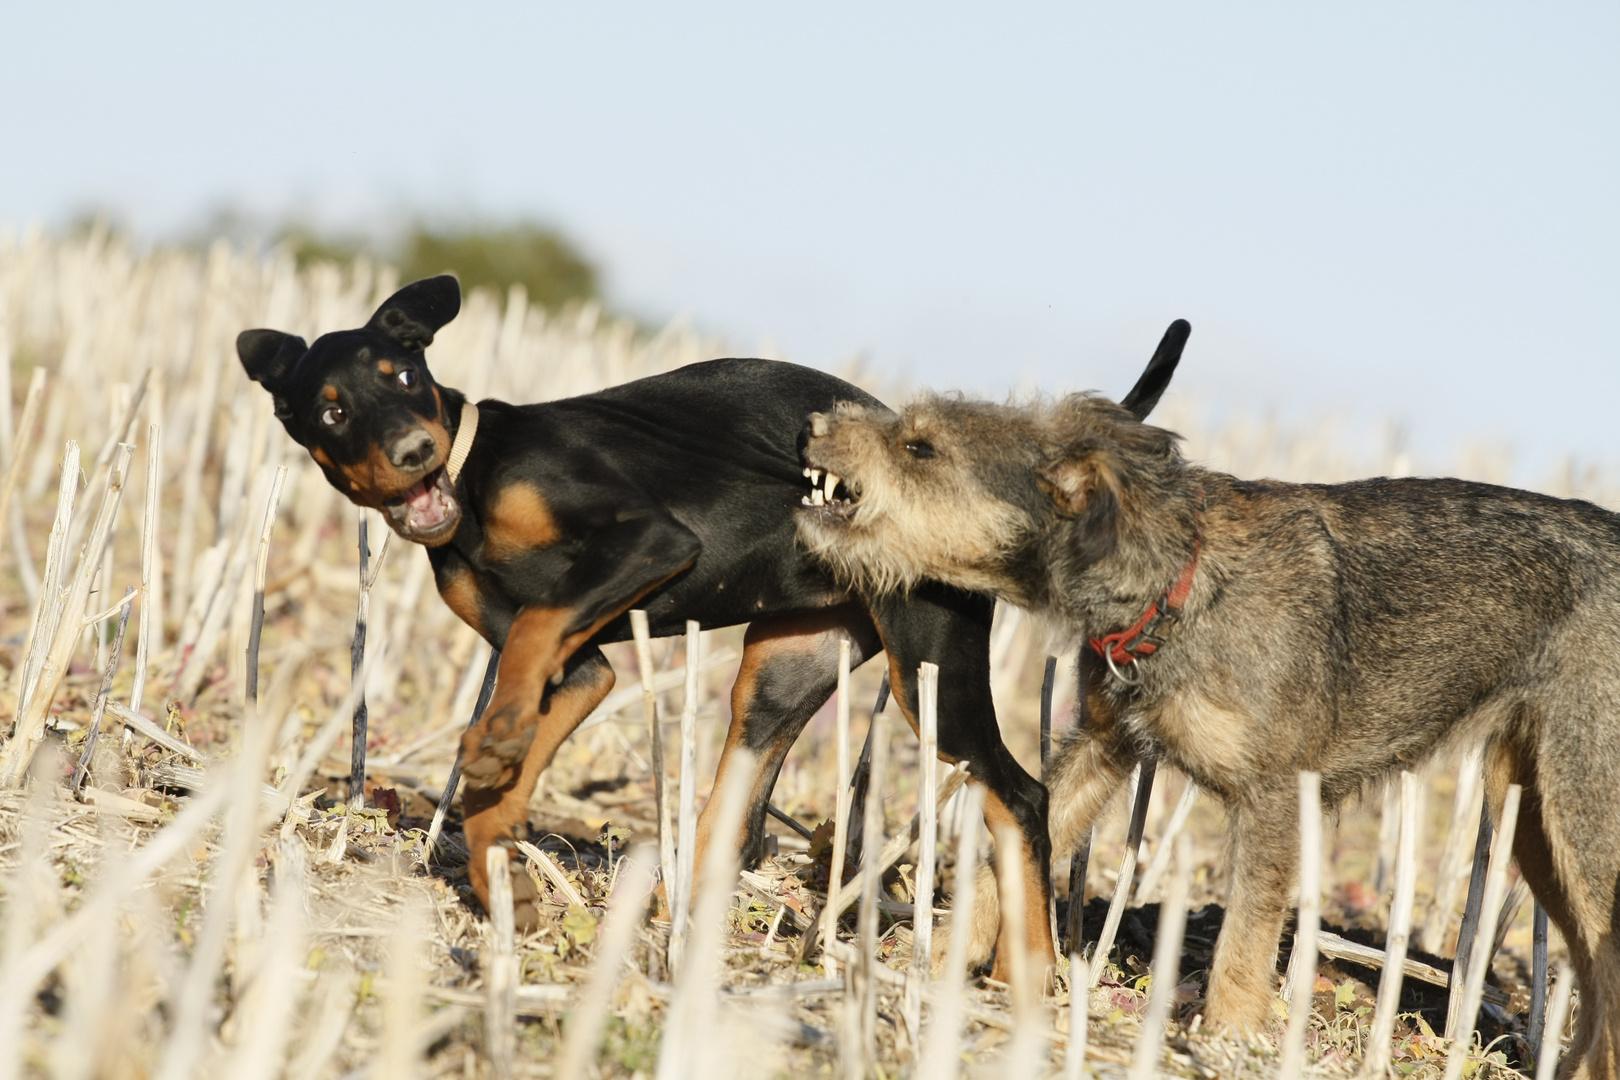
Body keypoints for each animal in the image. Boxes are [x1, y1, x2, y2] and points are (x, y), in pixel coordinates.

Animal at [234, 276, 1185, 971]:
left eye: (403, 378)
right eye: (331, 410)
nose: (412, 453)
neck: (470, 483)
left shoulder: (650, 541)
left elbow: (536, 635)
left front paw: (494, 745)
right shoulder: (585, 667)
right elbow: (510, 754)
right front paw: (504, 870)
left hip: (929, 674)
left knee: (1020, 793)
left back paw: (1031, 973)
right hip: (782, 671)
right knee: (741, 822)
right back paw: (675, 926)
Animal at [797, 386, 1620, 1075]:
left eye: (921, 447)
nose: (814, 424)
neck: (1180, 580)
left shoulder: (1276, 798)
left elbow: (1244, 940)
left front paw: (1226, 1037)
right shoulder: (1101, 748)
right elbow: (1016, 855)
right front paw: (925, 961)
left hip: (1584, 822)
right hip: (1535, 823)